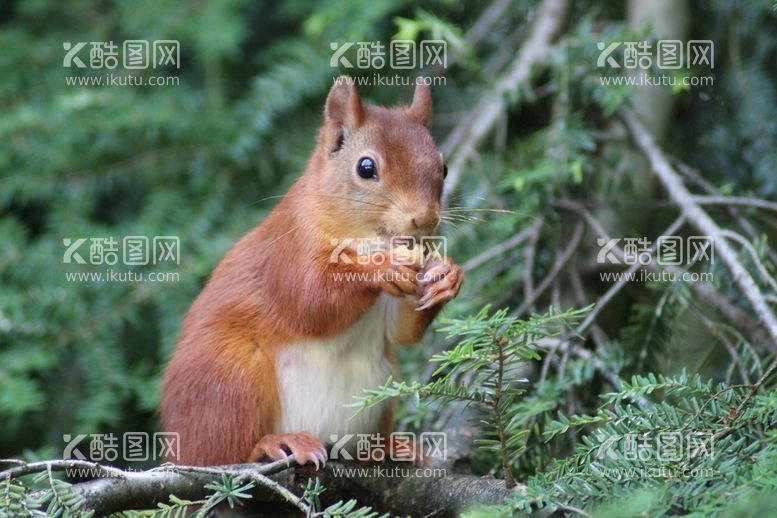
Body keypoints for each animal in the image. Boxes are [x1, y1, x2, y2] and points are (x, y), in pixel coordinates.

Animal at [158, 78, 460, 472]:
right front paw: (382, 267)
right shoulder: (287, 250)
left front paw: (447, 275)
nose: (424, 219)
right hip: (230, 377)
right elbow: (310, 301)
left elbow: (402, 331)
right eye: (366, 168)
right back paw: (275, 444)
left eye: (444, 167)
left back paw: (388, 448)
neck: (366, 240)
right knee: (221, 454)